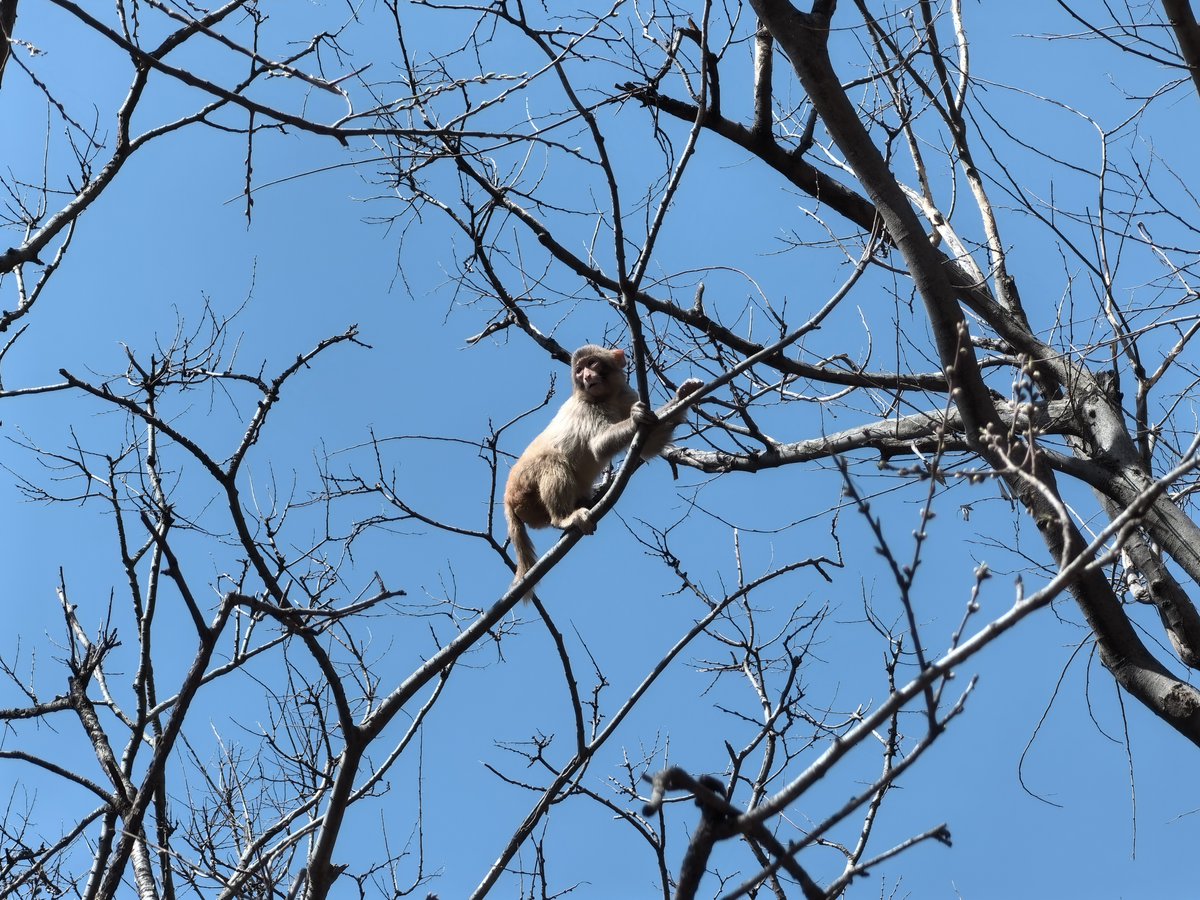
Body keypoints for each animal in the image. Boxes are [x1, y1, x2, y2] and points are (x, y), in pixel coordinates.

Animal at [504, 344, 703, 596]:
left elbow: (649, 445)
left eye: (592, 363)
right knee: (552, 461)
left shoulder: (627, 394)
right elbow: (599, 445)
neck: (608, 397)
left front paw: (683, 396)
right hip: (525, 489)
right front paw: (637, 418)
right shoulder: (587, 408)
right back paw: (564, 518)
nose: (587, 377)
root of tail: (508, 500)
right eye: (579, 370)